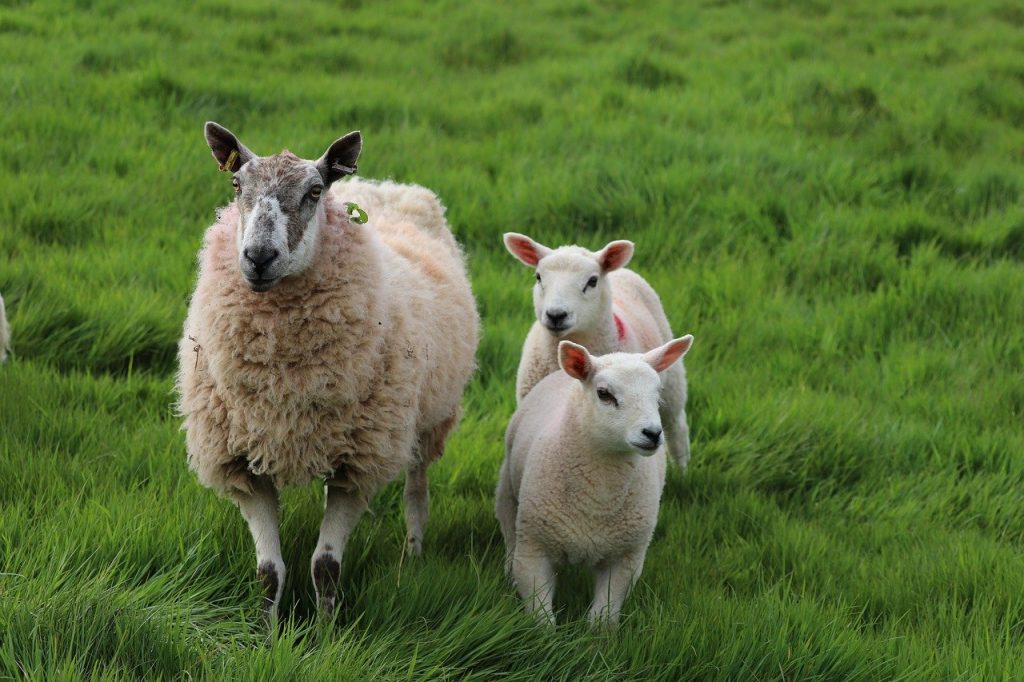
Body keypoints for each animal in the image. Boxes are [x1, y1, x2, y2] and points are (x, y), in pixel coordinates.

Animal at [176, 122, 480, 620]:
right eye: (237, 185)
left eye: (314, 192)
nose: (258, 257)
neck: (284, 384)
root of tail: (384, 186)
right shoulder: (242, 463)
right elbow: (269, 571)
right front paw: (267, 631)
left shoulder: (357, 465)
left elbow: (325, 566)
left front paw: (325, 630)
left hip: (428, 417)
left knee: (416, 488)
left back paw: (413, 554)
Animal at [496, 335, 694, 627]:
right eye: (604, 394)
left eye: (657, 394)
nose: (653, 433)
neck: (598, 497)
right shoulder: (534, 549)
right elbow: (541, 618)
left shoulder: (626, 558)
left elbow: (603, 617)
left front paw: (598, 637)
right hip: (508, 493)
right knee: (509, 531)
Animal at [503, 233, 692, 471]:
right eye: (538, 277)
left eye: (592, 281)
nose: (556, 315)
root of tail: (620, 271)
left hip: (673, 385)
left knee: (677, 427)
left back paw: (682, 470)